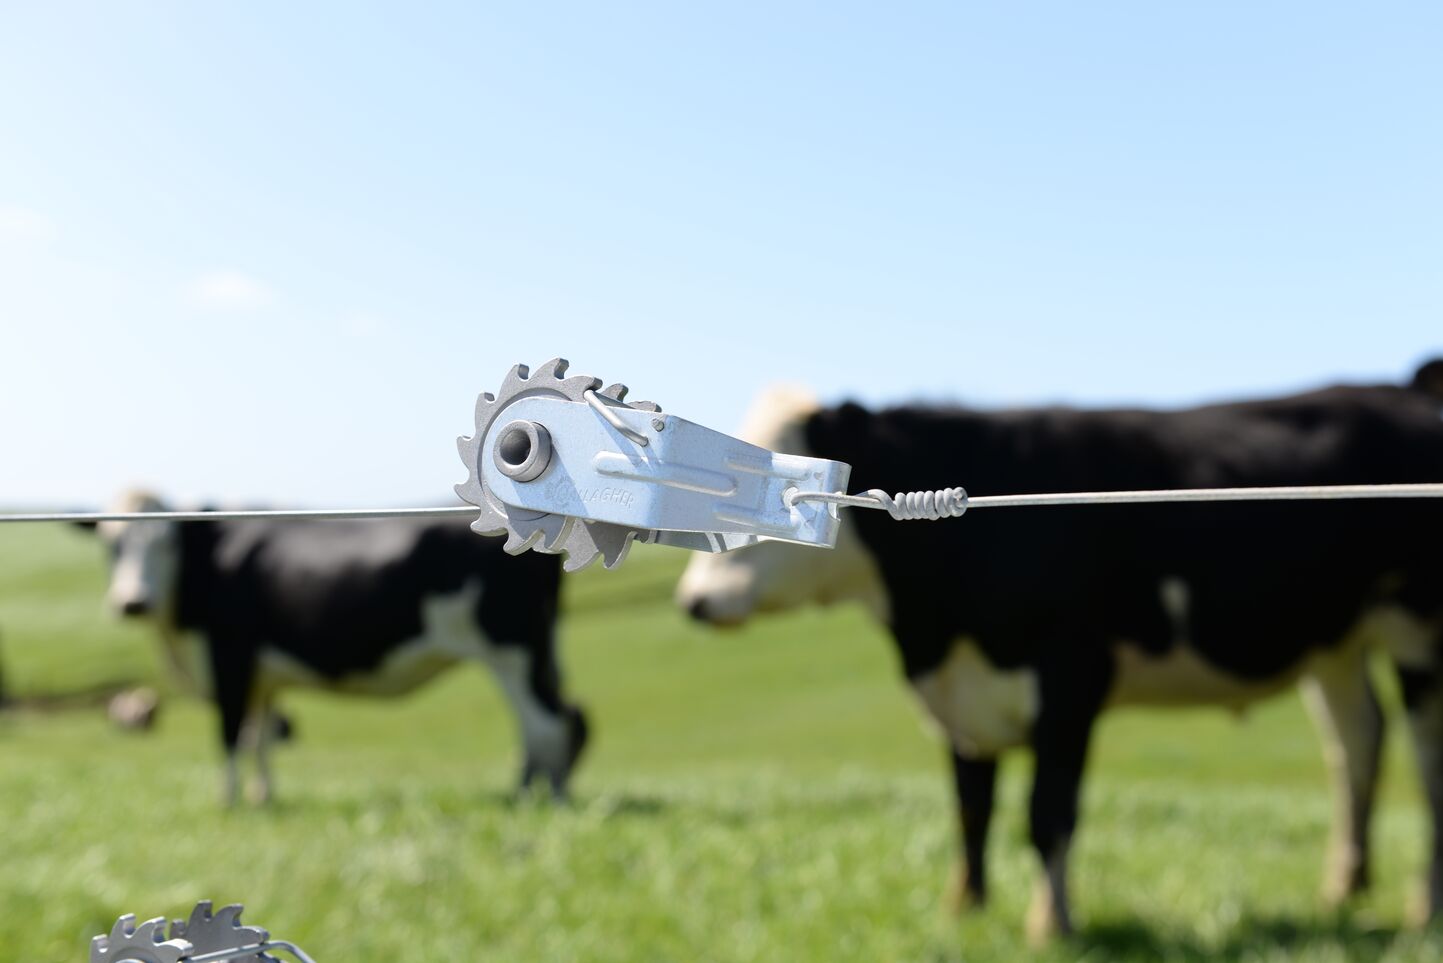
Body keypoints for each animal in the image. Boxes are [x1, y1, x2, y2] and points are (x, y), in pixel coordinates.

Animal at [675, 363, 1443, 941]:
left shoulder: (1072, 676)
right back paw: (1342, 889)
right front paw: (963, 910)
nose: (693, 601)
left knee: (1423, 758)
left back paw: (1419, 907)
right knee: (1357, 741)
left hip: (1416, 630)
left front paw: (1051, 925)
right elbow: (971, 806)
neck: (933, 624)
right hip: (1336, 641)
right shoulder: (961, 691)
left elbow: (1047, 812)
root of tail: (1404, 385)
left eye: (777, 486)